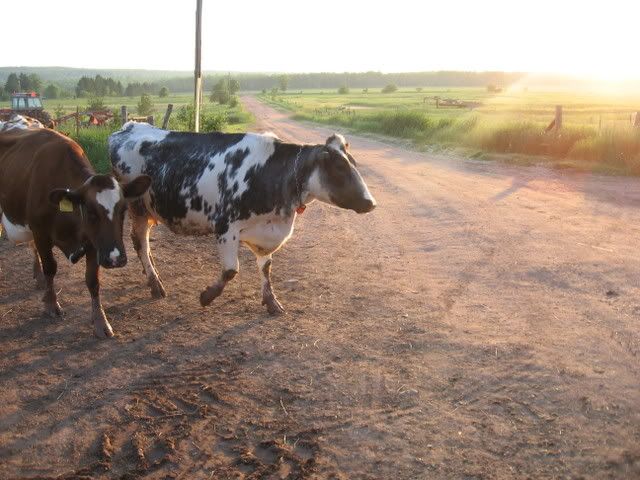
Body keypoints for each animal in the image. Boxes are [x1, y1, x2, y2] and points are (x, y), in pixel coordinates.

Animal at [0, 128, 151, 338]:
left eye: (123, 210)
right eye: (91, 212)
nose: (115, 259)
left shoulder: (94, 243)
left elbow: (93, 280)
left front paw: (101, 322)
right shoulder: (40, 232)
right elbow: (50, 267)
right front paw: (51, 304)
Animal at [109, 122, 376, 314]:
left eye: (353, 164)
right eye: (339, 168)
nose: (371, 202)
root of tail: (129, 126)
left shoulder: (266, 231)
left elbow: (266, 268)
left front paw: (271, 301)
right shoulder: (226, 228)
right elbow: (230, 271)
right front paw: (207, 296)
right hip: (138, 207)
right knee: (140, 242)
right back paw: (155, 283)